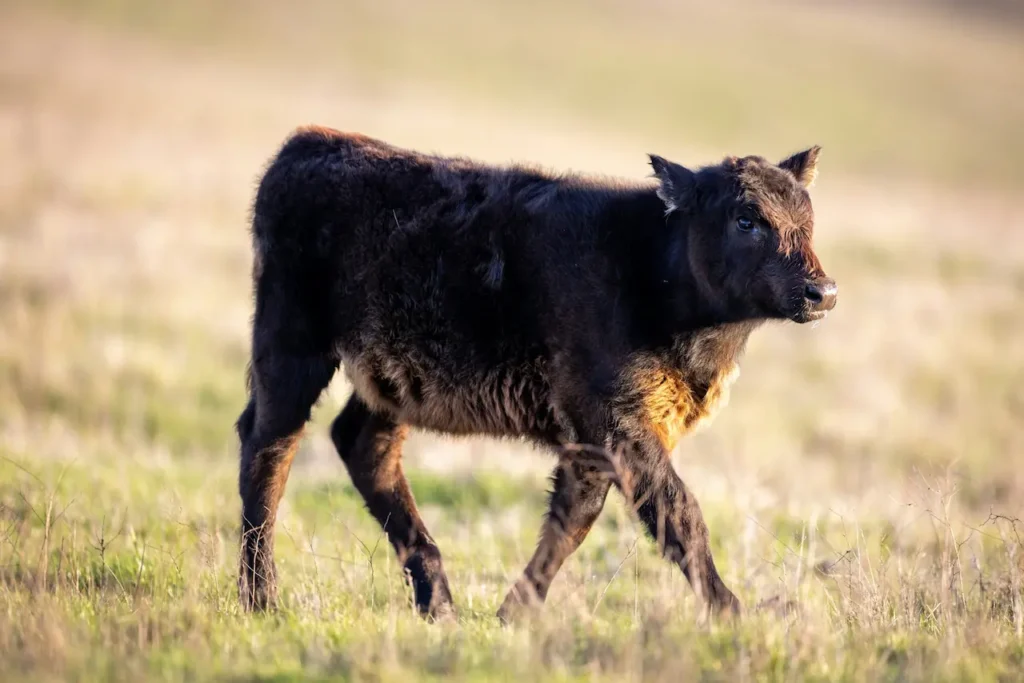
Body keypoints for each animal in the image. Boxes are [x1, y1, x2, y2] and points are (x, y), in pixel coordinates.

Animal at [235, 125, 835, 622]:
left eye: (807, 219)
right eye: (745, 218)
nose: (822, 292)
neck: (652, 267)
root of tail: (304, 146)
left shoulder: (592, 443)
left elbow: (573, 521)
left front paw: (511, 615)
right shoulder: (620, 427)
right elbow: (677, 514)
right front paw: (732, 611)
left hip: (389, 387)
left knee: (362, 447)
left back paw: (438, 604)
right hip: (291, 351)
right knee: (270, 449)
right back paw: (262, 600)